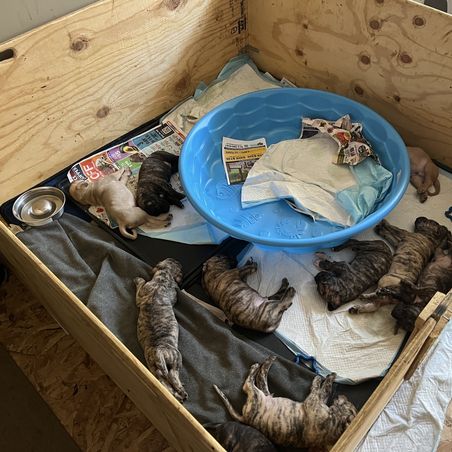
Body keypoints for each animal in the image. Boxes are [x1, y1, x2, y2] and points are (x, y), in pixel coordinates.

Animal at [134, 258, 187, 402]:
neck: (163, 278)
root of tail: (159, 351)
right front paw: (138, 279)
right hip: (176, 360)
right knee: (173, 377)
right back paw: (182, 392)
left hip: (154, 368)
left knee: (165, 384)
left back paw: (177, 395)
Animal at [214, 356, 357, 450]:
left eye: (347, 405)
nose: (343, 395)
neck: (335, 424)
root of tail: (245, 418)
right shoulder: (319, 401)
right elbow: (325, 391)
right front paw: (330, 377)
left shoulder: (312, 401)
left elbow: (319, 389)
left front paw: (319, 379)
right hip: (265, 395)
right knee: (261, 382)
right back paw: (267, 363)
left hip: (258, 396)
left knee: (249, 383)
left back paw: (261, 365)